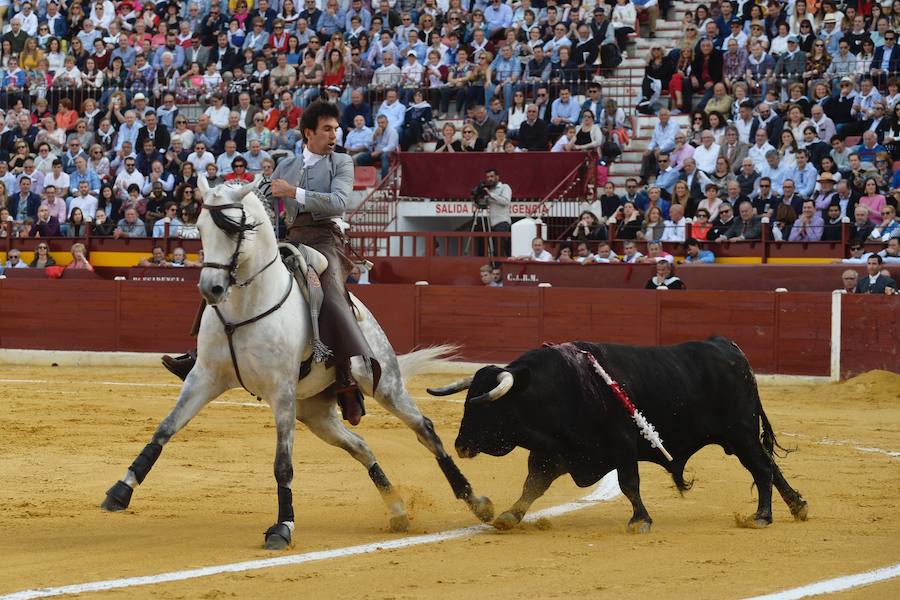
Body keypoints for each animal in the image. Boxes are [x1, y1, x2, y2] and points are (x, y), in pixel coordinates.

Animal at [103, 177, 496, 548]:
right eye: (199, 228)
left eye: (233, 229)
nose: (210, 288)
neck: (245, 306)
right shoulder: (205, 377)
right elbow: (164, 429)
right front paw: (121, 491)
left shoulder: (281, 392)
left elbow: (282, 464)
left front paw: (282, 528)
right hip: (315, 412)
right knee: (360, 445)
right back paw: (398, 509)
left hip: (384, 384)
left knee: (424, 428)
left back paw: (476, 501)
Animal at [428, 340, 808, 532]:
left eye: (485, 408)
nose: (460, 446)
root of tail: (733, 350)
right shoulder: (554, 452)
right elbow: (532, 485)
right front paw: (509, 515)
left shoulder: (622, 444)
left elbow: (629, 483)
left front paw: (640, 520)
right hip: (741, 436)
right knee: (769, 466)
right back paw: (797, 506)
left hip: (740, 432)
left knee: (762, 468)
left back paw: (762, 516)